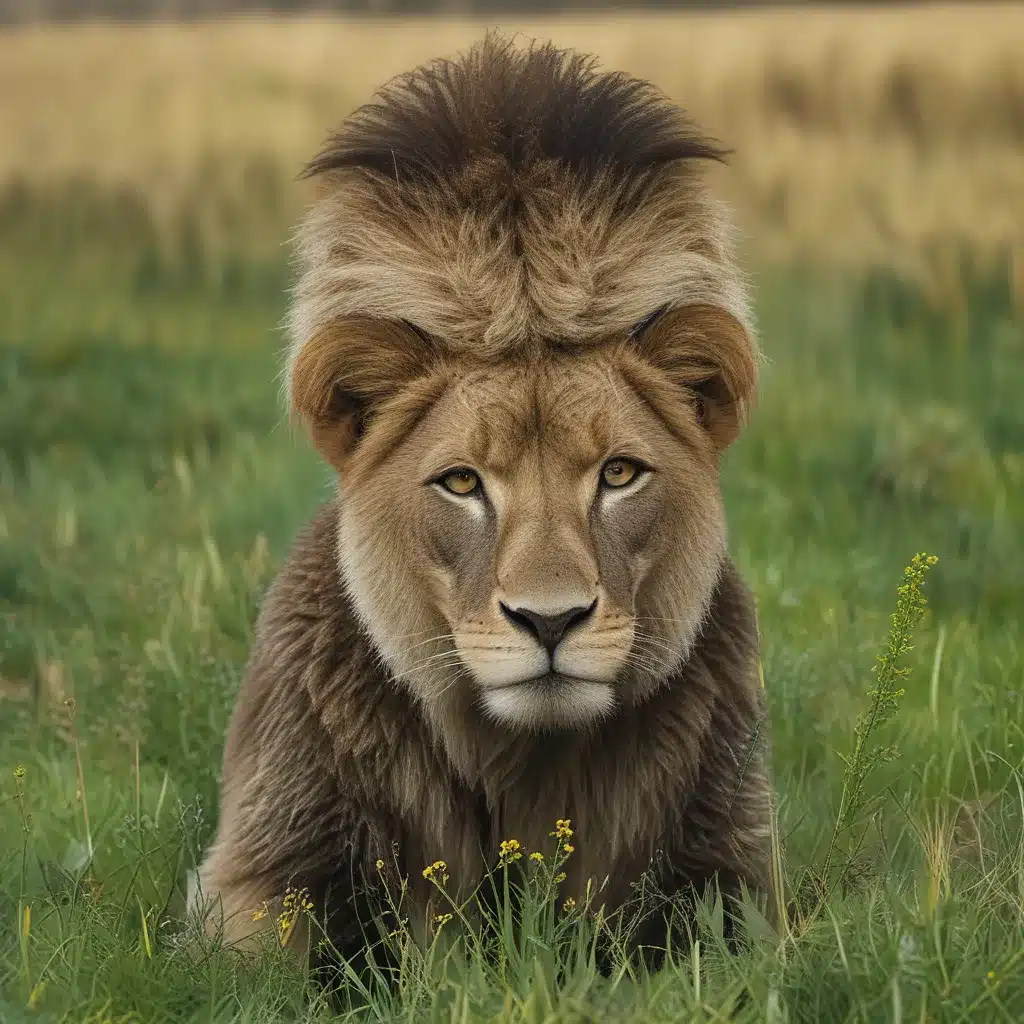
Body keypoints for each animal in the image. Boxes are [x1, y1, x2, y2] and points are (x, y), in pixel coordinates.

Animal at [186, 29, 774, 958]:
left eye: (618, 474)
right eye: (462, 483)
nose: (550, 621)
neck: (521, 765)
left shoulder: (732, 871)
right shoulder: (256, 875)